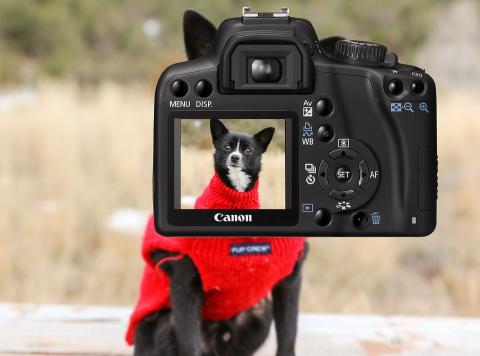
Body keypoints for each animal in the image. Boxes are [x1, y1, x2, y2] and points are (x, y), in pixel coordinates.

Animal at [126, 11, 308, 356]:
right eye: (226, 147)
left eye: (248, 150)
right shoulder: (184, 283)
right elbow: (191, 344)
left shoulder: (289, 281)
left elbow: (289, 338)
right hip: (165, 325)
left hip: (257, 315)